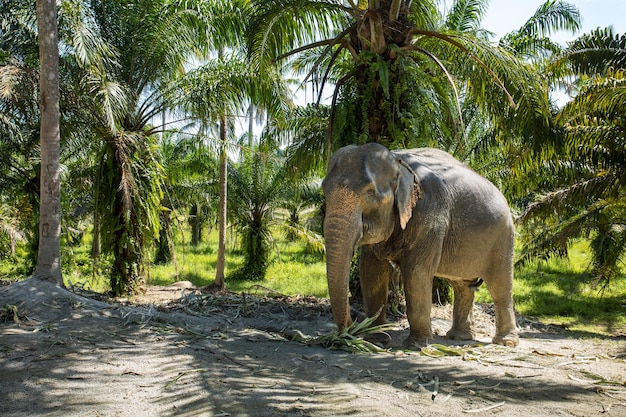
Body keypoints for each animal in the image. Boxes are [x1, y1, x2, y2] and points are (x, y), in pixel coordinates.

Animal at [322, 141, 516, 346]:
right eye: (324, 191)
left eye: (370, 194)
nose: (348, 334)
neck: (397, 160)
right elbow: (370, 270)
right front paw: (376, 339)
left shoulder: (430, 214)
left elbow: (416, 272)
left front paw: (417, 344)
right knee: (462, 286)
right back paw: (460, 337)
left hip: (503, 238)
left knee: (500, 286)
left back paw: (505, 342)